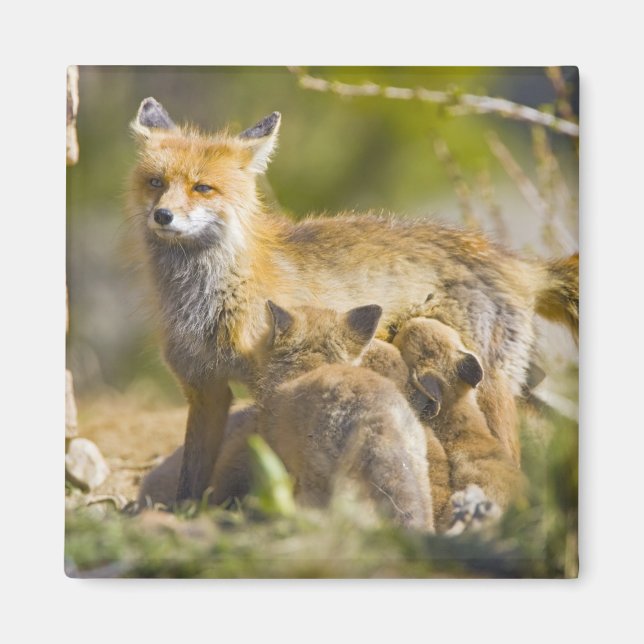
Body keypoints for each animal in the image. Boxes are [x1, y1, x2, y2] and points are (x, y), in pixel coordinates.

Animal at [127, 97, 579, 501]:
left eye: (203, 188)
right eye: (156, 183)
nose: (162, 216)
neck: (206, 302)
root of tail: (518, 262)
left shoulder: (271, 383)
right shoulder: (204, 388)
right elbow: (190, 478)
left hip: (489, 388)